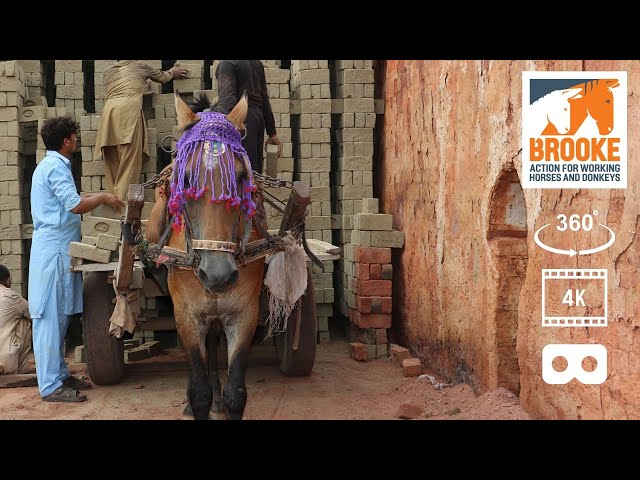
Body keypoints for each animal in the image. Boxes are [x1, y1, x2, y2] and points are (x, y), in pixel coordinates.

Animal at [148, 92, 264, 418]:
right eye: (186, 179)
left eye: (241, 176)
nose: (218, 274)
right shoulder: (186, 313)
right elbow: (197, 390)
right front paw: (196, 401)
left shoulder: (245, 312)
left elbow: (236, 393)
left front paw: (223, 397)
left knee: (213, 339)